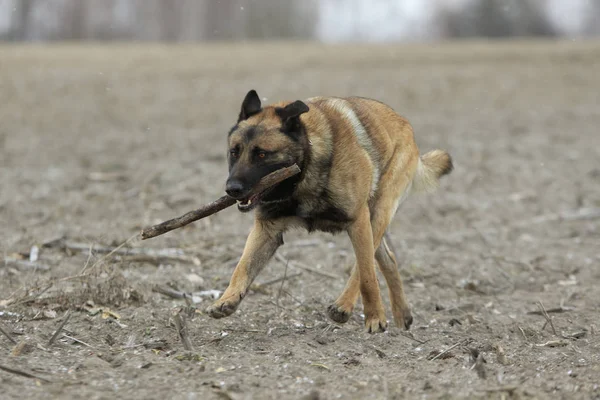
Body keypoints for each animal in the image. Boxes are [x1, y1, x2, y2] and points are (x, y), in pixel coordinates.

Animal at [206, 89, 450, 332]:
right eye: (234, 152)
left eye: (262, 154)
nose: (232, 189)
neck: (306, 166)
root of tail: (404, 122)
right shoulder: (267, 230)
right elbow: (242, 266)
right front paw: (227, 299)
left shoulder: (358, 220)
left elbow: (367, 276)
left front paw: (375, 317)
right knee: (388, 260)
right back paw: (402, 314)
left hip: (377, 213)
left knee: (365, 266)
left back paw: (346, 306)